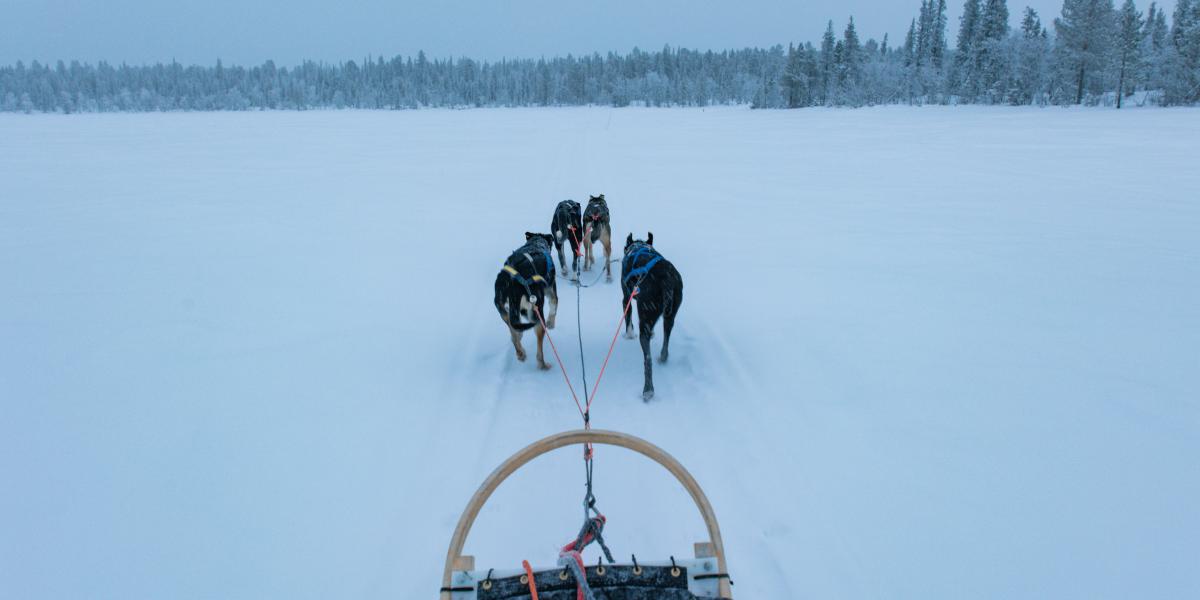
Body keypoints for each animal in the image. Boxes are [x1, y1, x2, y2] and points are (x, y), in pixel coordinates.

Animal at [494, 232, 559, 369]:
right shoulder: (551, 290)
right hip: (537, 313)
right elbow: (554, 305)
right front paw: (551, 323)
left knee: (514, 335)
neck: (536, 244)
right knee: (539, 353)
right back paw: (543, 365)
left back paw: (520, 352)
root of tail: (511, 283)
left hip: (505, 313)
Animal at [620, 233, 683, 401]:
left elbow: (628, 321)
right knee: (666, 339)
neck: (639, 246)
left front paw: (629, 335)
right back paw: (663, 356)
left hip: (645, 318)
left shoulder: (626, 298)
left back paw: (648, 390)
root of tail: (665, 277)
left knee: (647, 359)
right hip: (670, 316)